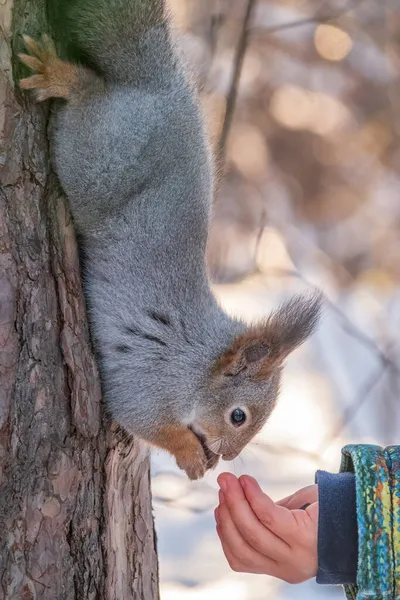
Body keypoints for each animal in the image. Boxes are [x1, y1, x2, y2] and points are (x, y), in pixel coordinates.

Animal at [19, 0, 322, 478]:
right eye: (239, 416)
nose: (227, 457)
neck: (197, 364)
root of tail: (161, 85)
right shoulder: (150, 379)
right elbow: (146, 420)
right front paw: (191, 455)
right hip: (100, 159)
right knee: (90, 97)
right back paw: (62, 77)